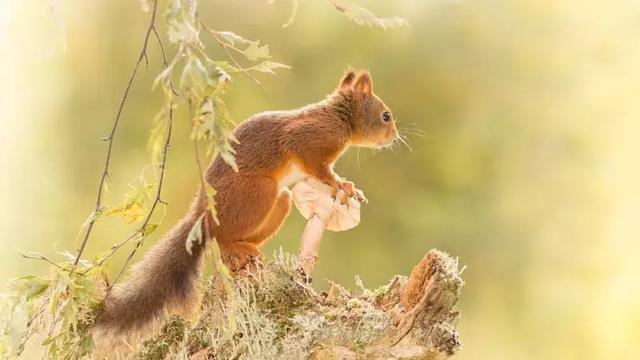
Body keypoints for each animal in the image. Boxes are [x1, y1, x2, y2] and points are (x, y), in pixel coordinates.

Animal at [93, 69, 398, 340]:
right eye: (386, 115)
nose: (395, 137)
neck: (340, 118)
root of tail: (203, 214)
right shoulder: (308, 138)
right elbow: (319, 167)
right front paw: (342, 184)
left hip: (278, 201)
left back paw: (250, 251)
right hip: (258, 193)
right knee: (221, 237)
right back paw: (242, 249)